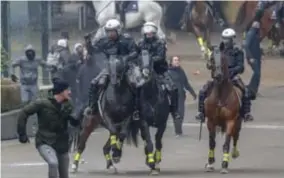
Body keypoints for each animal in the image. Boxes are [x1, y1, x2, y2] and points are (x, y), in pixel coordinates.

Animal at [204, 43, 242, 174]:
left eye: (222, 58)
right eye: (211, 59)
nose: (218, 75)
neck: (221, 95)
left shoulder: (230, 121)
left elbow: (226, 143)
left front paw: (224, 164)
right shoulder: (211, 121)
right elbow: (211, 142)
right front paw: (210, 163)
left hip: (237, 123)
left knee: (235, 137)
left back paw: (234, 153)